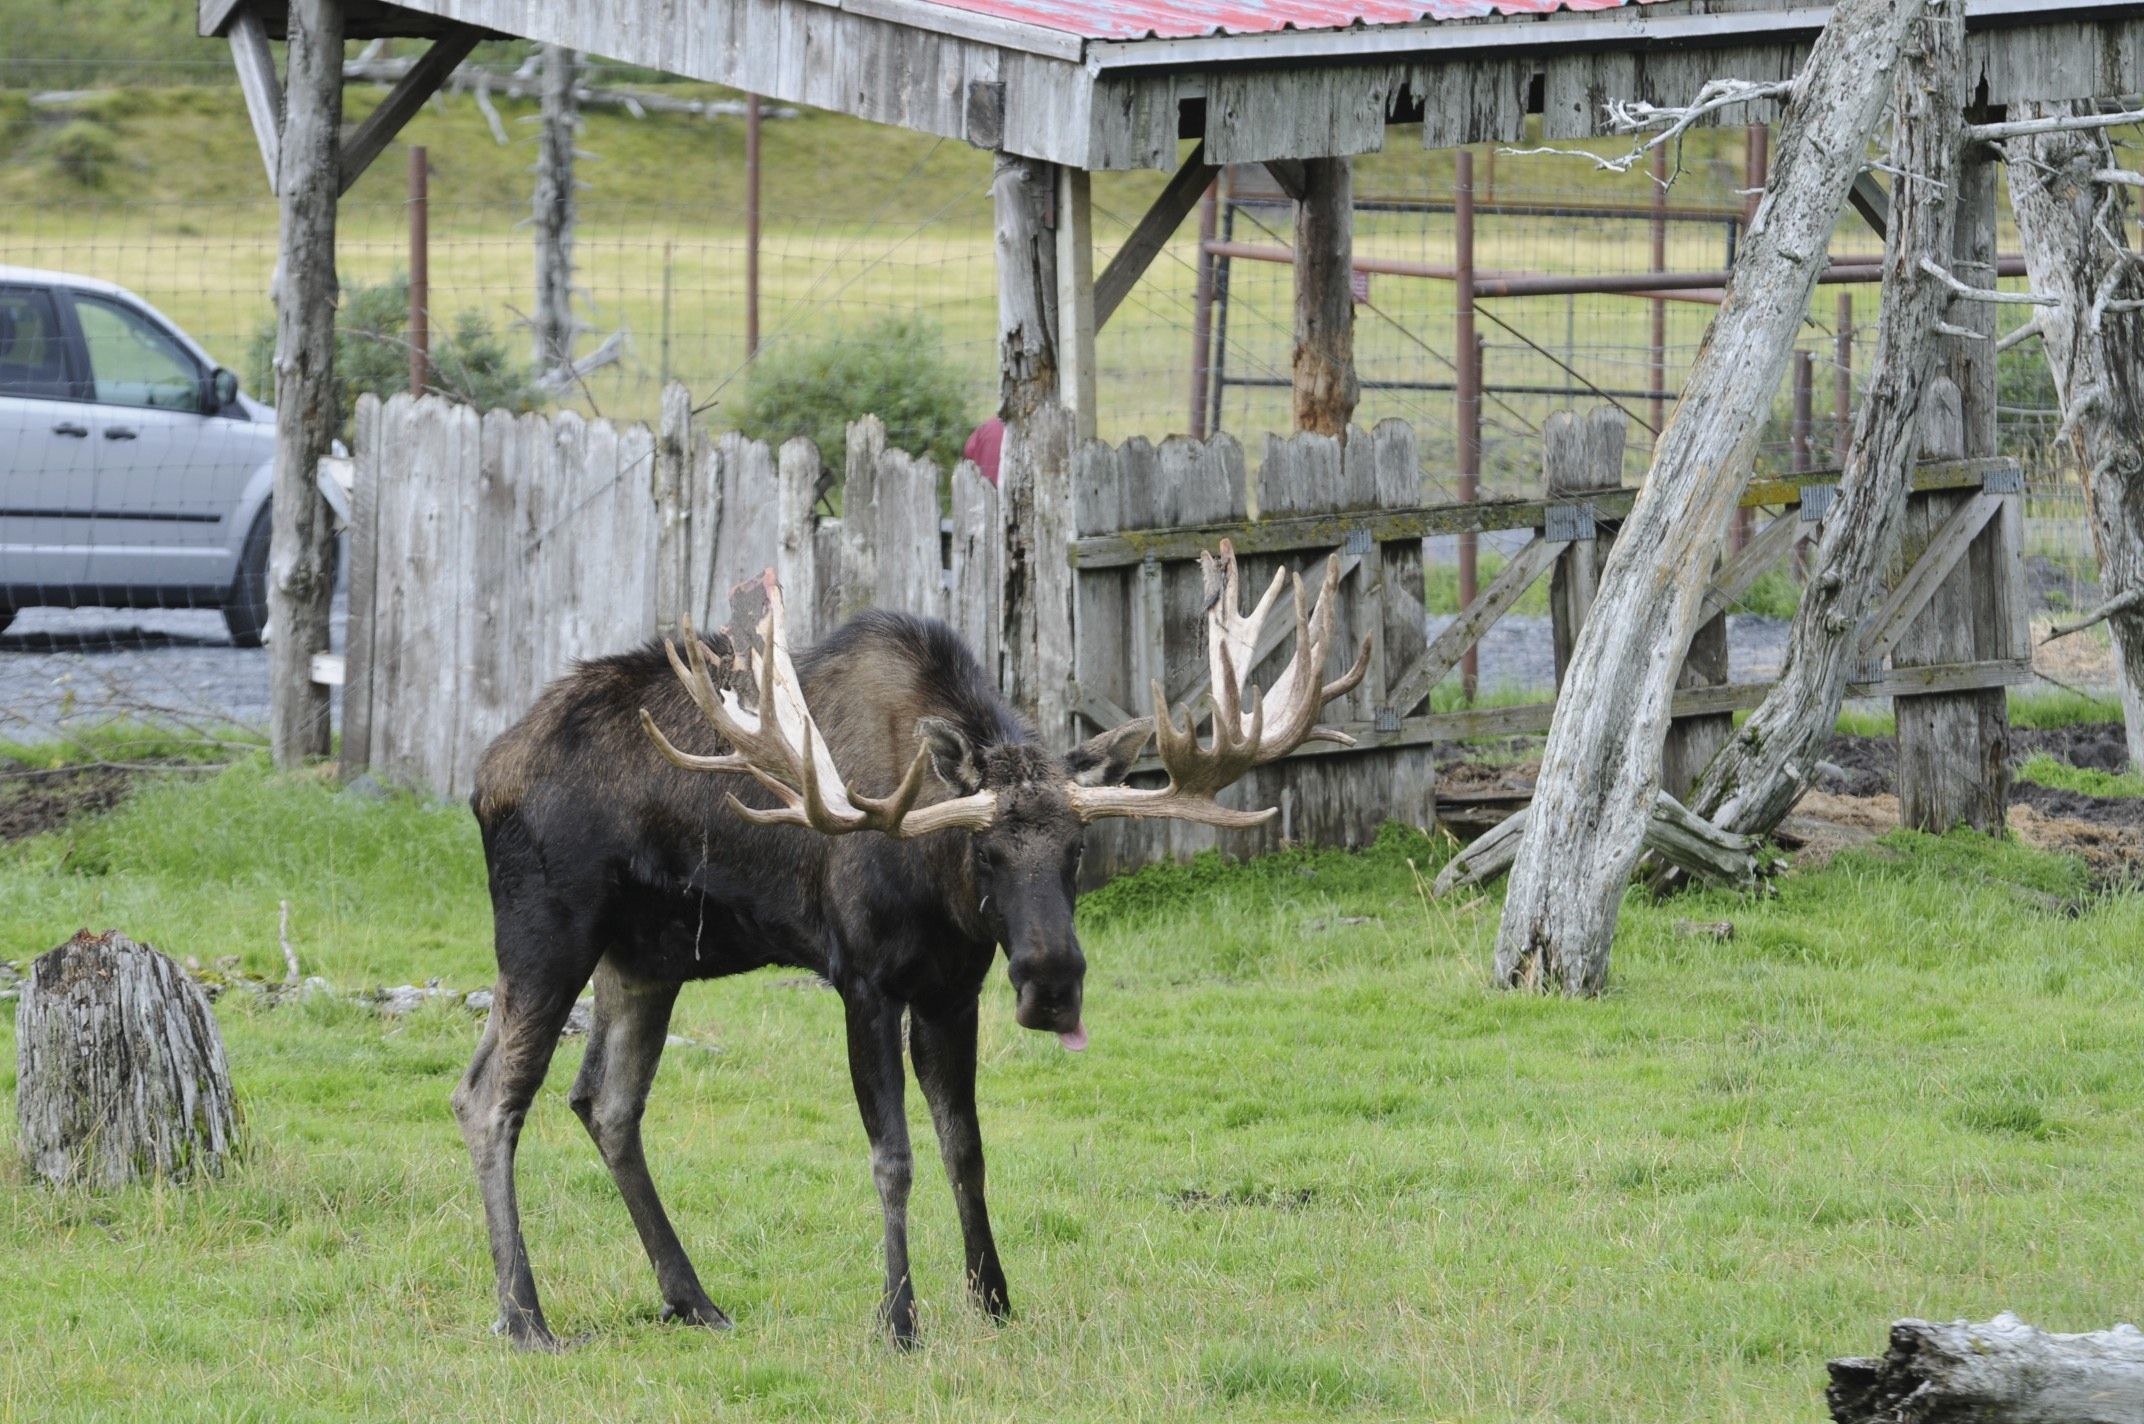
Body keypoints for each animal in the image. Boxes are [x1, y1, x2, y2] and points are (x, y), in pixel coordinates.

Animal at [448, 540, 1372, 1355]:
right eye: (986, 851)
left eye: (1079, 849)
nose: (1052, 985)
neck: (936, 885)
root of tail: (485, 775)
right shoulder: (863, 981)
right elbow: (892, 1156)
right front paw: (898, 1319)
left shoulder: (951, 991)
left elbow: (967, 1148)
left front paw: (993, 1299)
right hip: (545, 934)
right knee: (489, 1096)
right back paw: (524, 1317)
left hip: (644, 959)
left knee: (605, 1103)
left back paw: (692, 1300)